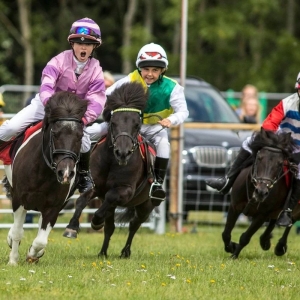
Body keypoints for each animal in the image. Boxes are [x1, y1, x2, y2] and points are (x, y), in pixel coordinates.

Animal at [5, 92, 86, 264]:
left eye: (80, 135)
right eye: (55, 133)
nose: (66, 173)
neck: (42, 172)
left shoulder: (53, 207)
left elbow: (41, 240)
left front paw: (32, 254)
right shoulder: (19, 200)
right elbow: (17, 232)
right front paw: (13, 260)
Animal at [63, 82, 157, 258]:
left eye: (137, 125)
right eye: (113, 123)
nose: (122, 153)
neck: (111, 162)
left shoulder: (125, 191)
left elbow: (108, 200)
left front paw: (96, 221)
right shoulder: (93, 184)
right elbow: (81, 201)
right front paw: (71, 227)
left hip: (146, 205)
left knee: (134, 224)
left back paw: (125, 252)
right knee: (111, 227)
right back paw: (103, 252)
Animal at [221, 127, 296, 258]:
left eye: (280, 164)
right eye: (260, 158)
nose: (261, 192)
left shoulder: (262, 215)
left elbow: (245, 237)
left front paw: (234, 255)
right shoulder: (234, 206)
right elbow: (226, 233)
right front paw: (231, 247)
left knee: (290, 221)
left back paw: (280, 246)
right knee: (274, 221)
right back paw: (265, 240)